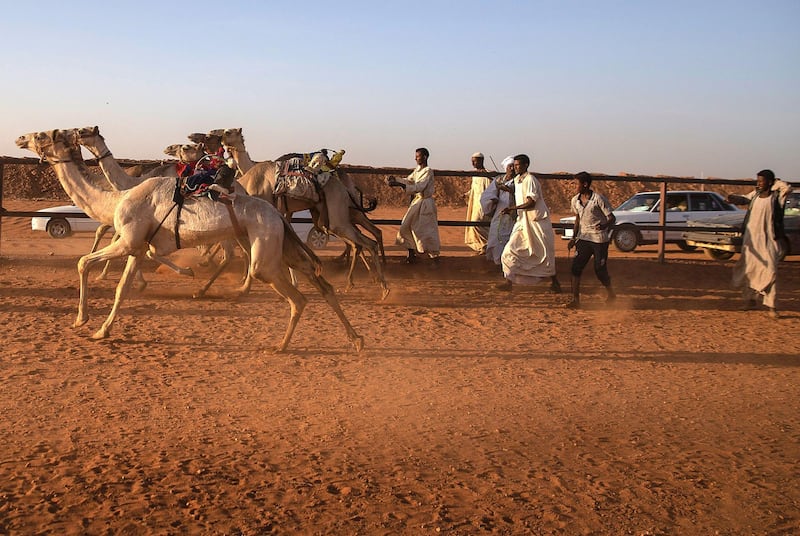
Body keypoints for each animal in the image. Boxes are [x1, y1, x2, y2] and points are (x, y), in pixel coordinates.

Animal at [16, 129, 362, 352]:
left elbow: (83, 262)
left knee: (295, 295)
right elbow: (122, 288)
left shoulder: (128, 242)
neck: (118, 197)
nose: (20, 137)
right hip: (279, 244)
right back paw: (356, 339)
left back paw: (280, 344)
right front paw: (102, 330)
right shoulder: (138, 248)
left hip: (265, 249)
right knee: (321, 283)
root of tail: (275, 213)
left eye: (43, 135)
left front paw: (81, 320)